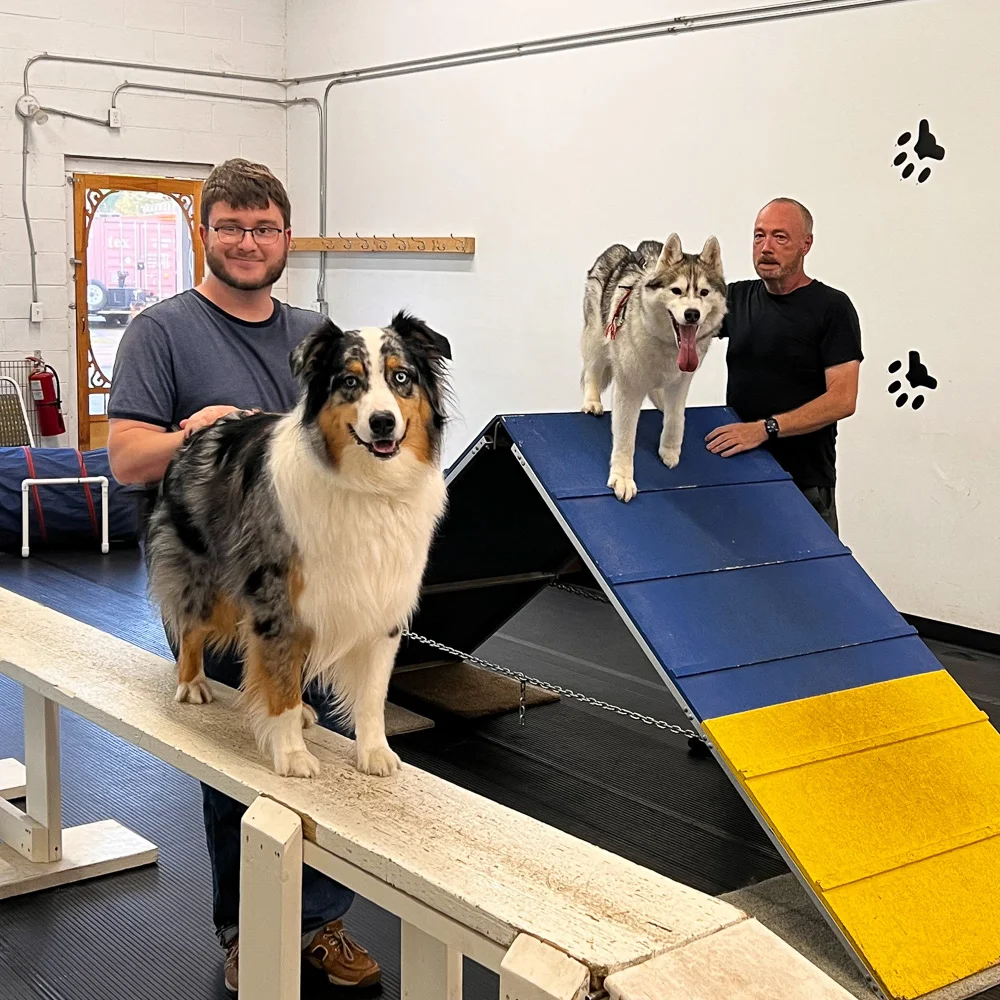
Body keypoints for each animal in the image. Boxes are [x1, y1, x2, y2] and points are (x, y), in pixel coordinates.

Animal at [144, 312, 452, 779]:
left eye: (401, 377)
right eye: (349, 381)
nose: (383, 421)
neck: (369, 487)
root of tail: (201, 430)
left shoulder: (383, 602)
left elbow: (371, 695)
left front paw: (374, 752)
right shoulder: (277, 600)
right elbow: (281, 681)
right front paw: (291, 755)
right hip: (206, 578)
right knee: (192, 624)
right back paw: (192, 683)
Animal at [580, 234, 727, 501]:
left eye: (704, 292)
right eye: (676, 290)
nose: (692, 314)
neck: (667, 345)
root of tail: (622, 249)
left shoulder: (681, 381)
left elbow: (676, 417)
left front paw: (669, 449)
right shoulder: (629, 387)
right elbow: (626, 437)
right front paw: (623, 478)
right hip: (596, 335)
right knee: (593, 370)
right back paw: (592, 401)